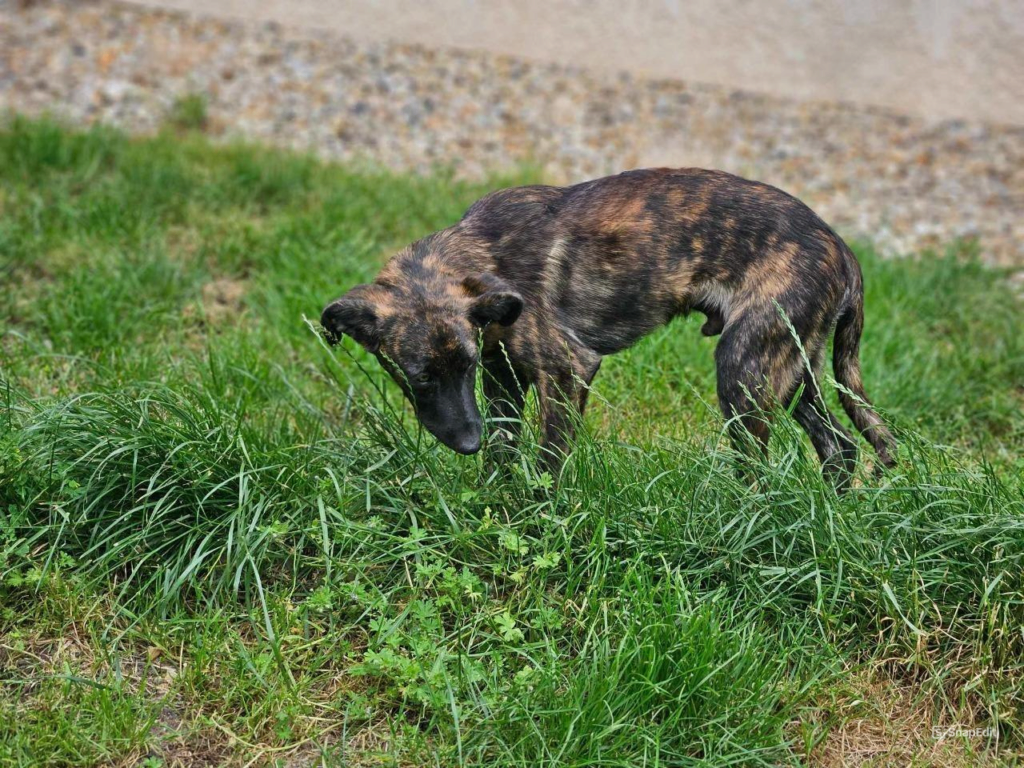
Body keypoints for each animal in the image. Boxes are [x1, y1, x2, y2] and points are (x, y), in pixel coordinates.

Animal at [319, 168, 897, 493]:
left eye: (459, 366)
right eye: (419, 377)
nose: (467, 442)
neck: (477, 253)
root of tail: (844, 250)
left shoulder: (566, 370)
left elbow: (548, 462)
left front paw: (538, 518)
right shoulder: (502, 380)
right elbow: (504, 453)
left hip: (744, 372)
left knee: (760, 470)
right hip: (792, 373)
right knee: (840, 448)